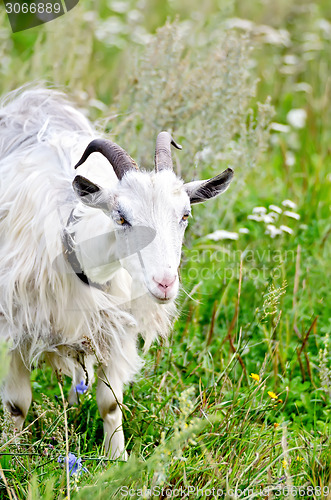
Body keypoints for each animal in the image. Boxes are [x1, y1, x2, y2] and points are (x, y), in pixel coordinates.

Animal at [0, 86, 235, 458]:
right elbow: (17, 404)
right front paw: (12, 455)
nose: (165, 283)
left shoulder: (115, 329)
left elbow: (110, 403)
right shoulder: (17, 327)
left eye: (184, 215)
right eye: (121, 217)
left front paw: (118, 459)